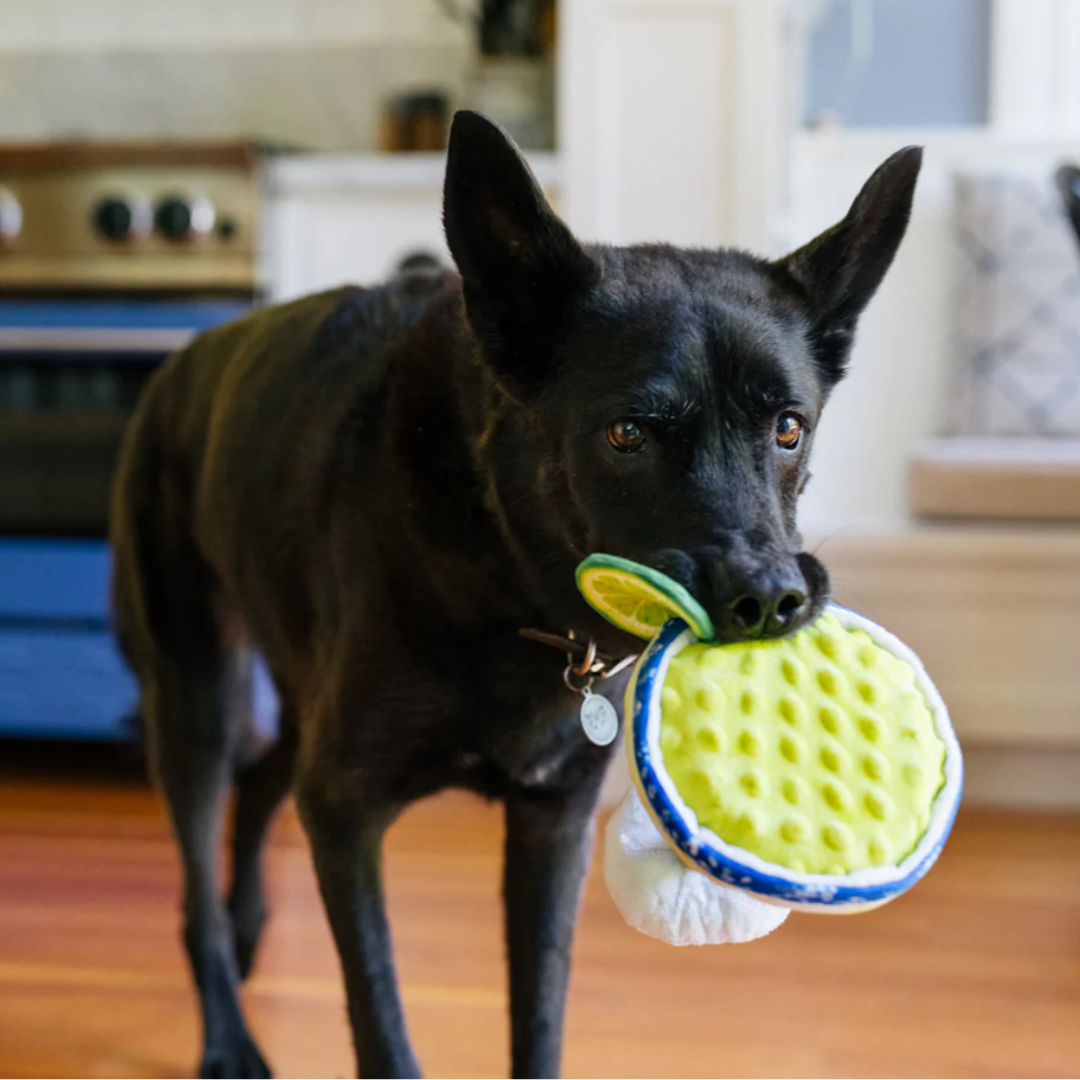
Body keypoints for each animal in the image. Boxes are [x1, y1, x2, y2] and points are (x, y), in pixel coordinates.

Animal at [109, 113, 920, 1075]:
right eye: (628, 434)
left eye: (789, 428)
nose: (767, 600)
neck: (510, 579)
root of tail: (176, 366)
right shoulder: (346, 813)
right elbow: (380, 1019)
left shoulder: (550, 823)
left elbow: (540, 1010)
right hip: (193, 698)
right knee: (202, 854)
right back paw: (227, 1028)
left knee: (267, 773)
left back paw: (247, 930)